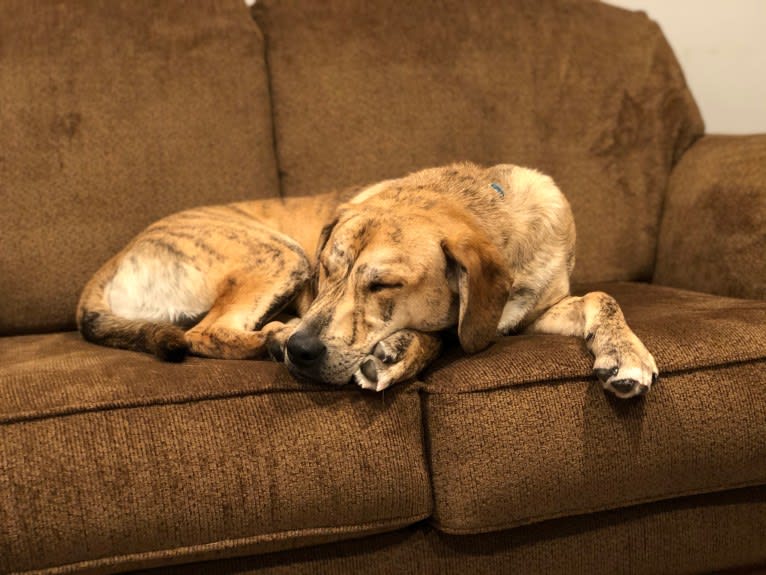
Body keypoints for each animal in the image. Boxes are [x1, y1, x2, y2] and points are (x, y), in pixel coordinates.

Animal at [81, 160, 664, 398]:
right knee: (205, 332)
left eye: (383, 285)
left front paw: (625, 353)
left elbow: (602, 298)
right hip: (278, 252)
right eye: (327, 271)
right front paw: (398, 352)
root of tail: (107, 267)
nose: (301, 351)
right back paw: (271, 337)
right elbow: (438, 335)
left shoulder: (533, 310)